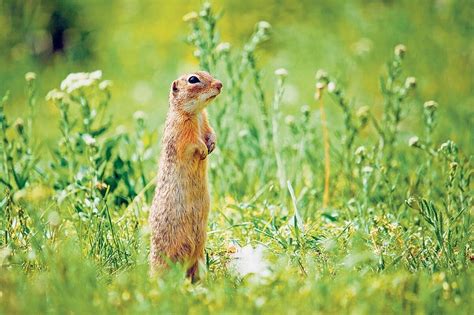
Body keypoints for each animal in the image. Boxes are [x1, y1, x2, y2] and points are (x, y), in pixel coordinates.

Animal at [149, 70, 223, 280]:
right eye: (193, 79)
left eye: (207, 72)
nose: (220, 84)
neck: (195, 113)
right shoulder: (181, 130)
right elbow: (192, 143)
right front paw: (204, 150)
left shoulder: (205, 121)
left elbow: (211, 132)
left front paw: (212, 145)